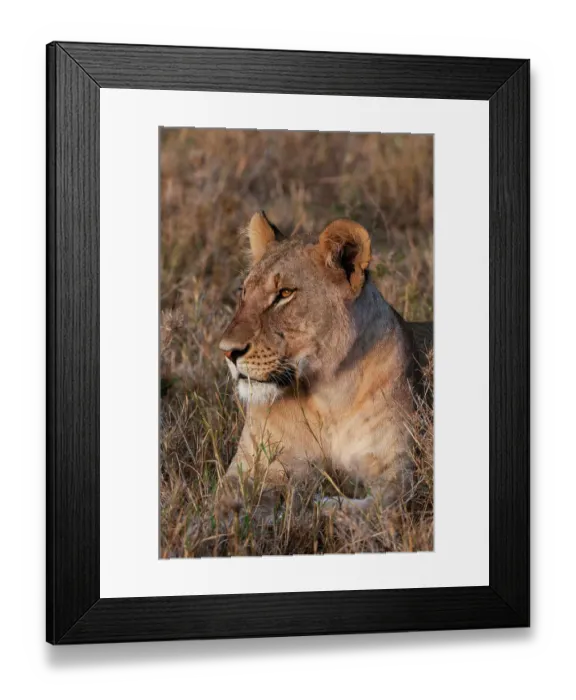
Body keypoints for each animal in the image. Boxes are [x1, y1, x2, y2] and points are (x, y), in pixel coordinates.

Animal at [218, 211, 432, 520]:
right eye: (243, 292)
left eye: (285, 293)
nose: (227, 351)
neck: (326, 398)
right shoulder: (244, 465)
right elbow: (224, 503)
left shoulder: (399, 479)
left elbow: (362, 511)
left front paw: (308, 505)